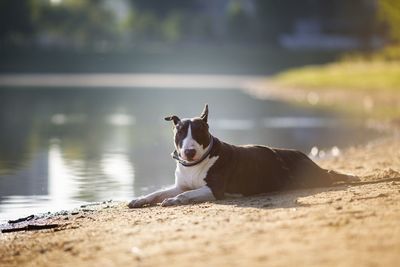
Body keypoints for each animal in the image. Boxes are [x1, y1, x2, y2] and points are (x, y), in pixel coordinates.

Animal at [127, 105, 356, 209]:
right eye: (180, 132)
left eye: (200, 132)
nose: (189, 152)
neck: (195, 164)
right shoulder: (180, 185)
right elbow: (157, 192)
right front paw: (140, 199)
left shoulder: (215, 189)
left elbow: (186, 195)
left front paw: (174, 201)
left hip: (312, 177)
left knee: (331, 175)